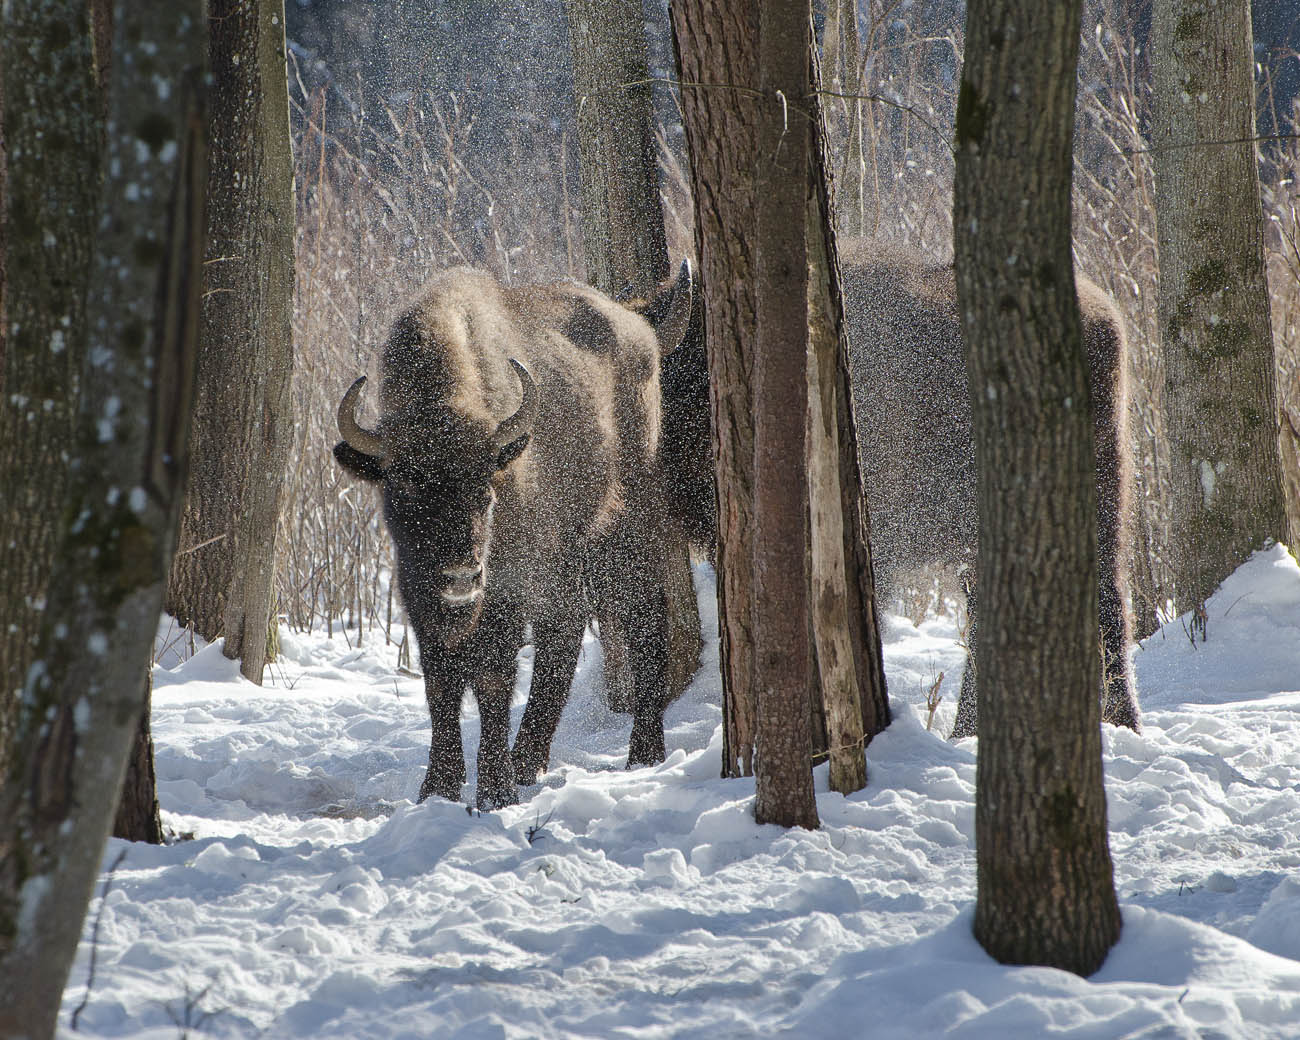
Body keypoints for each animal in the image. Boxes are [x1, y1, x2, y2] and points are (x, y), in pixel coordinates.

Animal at [340, 263, 696, 806]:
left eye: (486, 491)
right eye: (403, 491)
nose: (460, 577)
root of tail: (643, 331)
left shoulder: (505, 590)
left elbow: (491, 678)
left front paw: (493, 791)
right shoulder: (418, 593)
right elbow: (440, 682)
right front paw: (437, 788)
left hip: (623, 529)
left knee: (643, 620)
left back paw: (643, 754)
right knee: (564, 634)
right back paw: (529, 760)